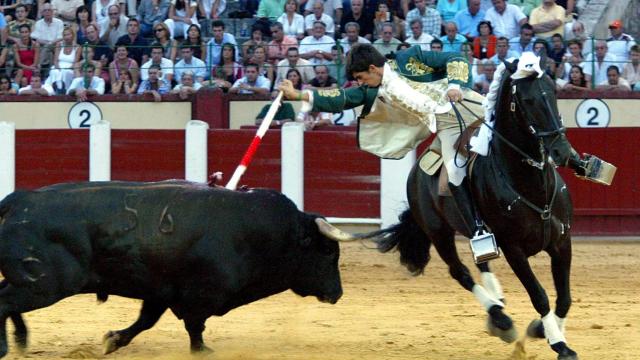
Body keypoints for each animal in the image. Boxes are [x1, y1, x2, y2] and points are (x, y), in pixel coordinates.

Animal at [0, 181, 350, 356]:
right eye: (328, 251)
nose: (337, 293)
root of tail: (19, 201)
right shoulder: (200, 295)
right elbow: (195, 327)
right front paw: (203, 351)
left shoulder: (160, 290)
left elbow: (146, 321)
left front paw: (113, 340)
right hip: (46, 284)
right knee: (5, 303)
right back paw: (6, 346)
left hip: (32, 283)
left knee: (6, 300)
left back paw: (21, 339)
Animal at [376, 60, 580, 360]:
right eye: (528, 100)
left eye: (553, 92)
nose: (562, 151)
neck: (532, 186)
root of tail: (416, 170)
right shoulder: (513, 249)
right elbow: (539, 294)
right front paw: (559, 343)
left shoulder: (562, 241)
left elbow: (564, 296)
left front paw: (543, 331)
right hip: (438, 233)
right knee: (459, 271)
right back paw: (500, 317)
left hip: (475, 231)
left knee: (480, 260)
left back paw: (498, 303)